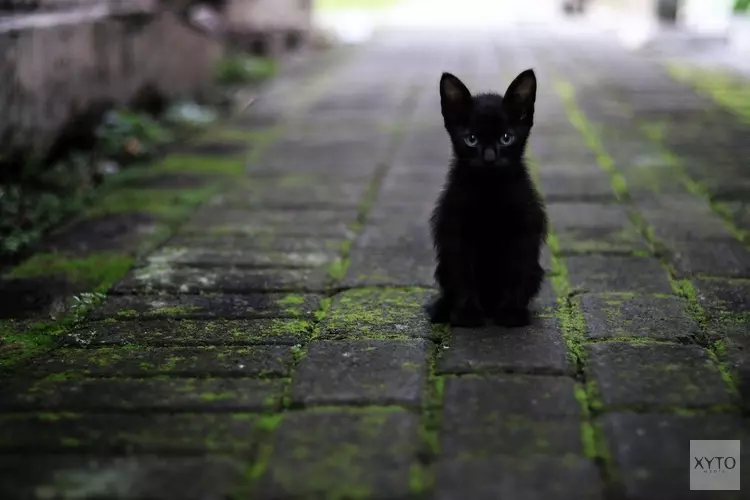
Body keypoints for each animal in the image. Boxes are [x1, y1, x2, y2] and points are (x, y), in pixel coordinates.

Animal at [432, 69, 548, 328]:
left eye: (506, 138)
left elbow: (516, 272)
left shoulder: (523, 231)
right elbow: (464, 274)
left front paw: (511, 312)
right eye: (471, 139)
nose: (489, 158)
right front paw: (468, 313)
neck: (489, 192)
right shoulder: (456, 232)